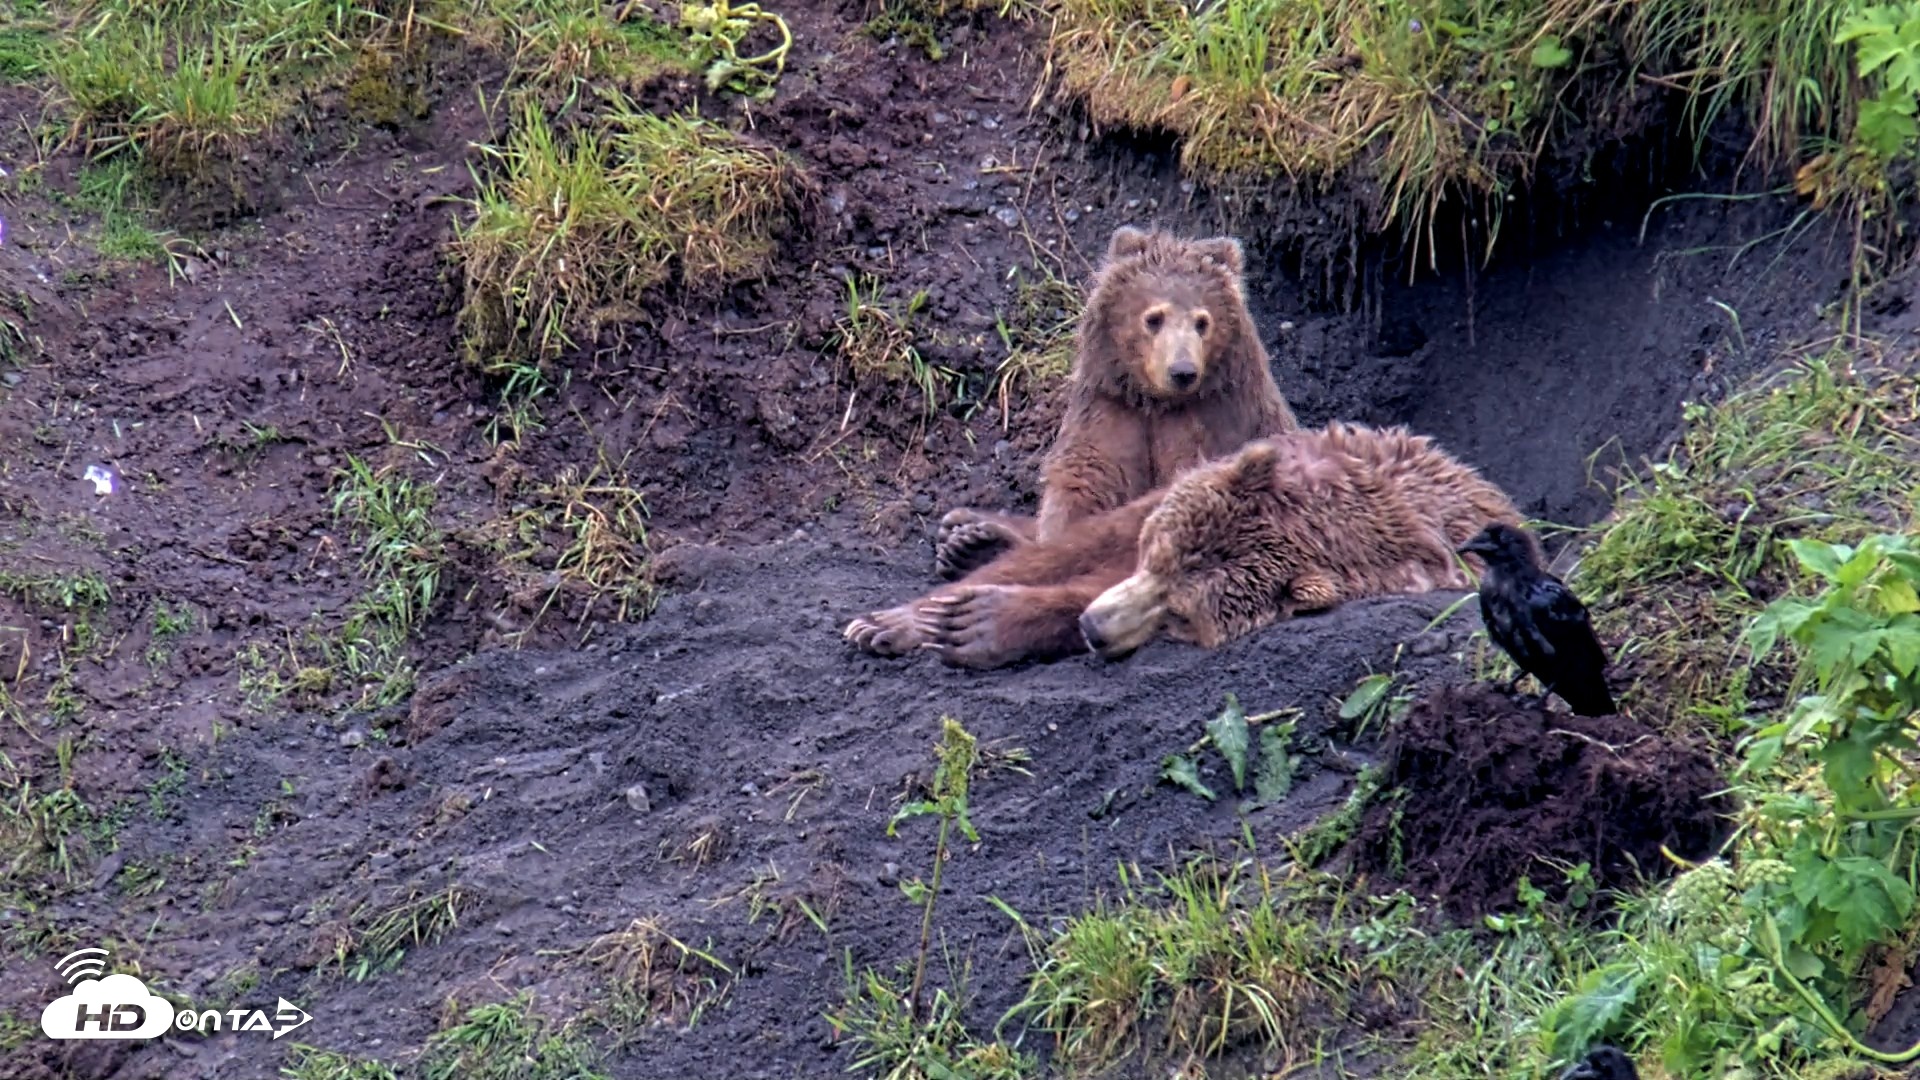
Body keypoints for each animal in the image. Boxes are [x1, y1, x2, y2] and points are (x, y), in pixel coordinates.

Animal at [844, 422, 1519, 671]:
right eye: (1156, 555)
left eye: (1183, 613)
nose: (1095, 628)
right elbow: (1084, 547)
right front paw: (898, 620)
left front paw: (979, 624)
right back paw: (973, 536)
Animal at [931, 224, 1299, 582]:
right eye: (1154, 318)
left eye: (1202, 321)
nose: (1182, 371)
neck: (1157, 403)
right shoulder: (1112, 409)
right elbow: (1087, 482)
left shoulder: (1213, 421)